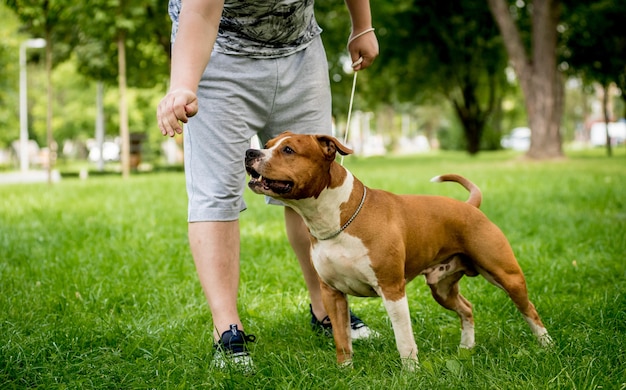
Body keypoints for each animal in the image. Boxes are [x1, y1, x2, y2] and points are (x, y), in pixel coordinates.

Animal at [244, 132, 552, 372]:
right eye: (267, 144)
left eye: (288, 150)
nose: (249, 152)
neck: (336, 220)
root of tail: (470, 206)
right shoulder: (332, 294)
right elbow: (342, 339)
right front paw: (345, 371)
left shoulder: (392, 289)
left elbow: (404, 338)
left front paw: (411, 372)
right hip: (442, 288)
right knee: (467, 308)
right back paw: (466, 347)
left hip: (506, 275)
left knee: (529, 310)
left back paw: (546, 345)